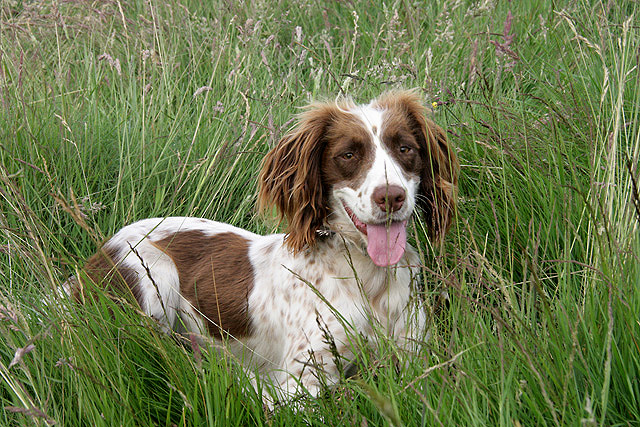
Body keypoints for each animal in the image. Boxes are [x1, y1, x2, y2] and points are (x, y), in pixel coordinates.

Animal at [67, 89, 458, 404]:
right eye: (348, 155)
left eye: (405, 148)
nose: (391, 196)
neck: (367, 277)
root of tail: (88, 264)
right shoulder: (303, 381)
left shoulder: (417, 360)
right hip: (153, 279)